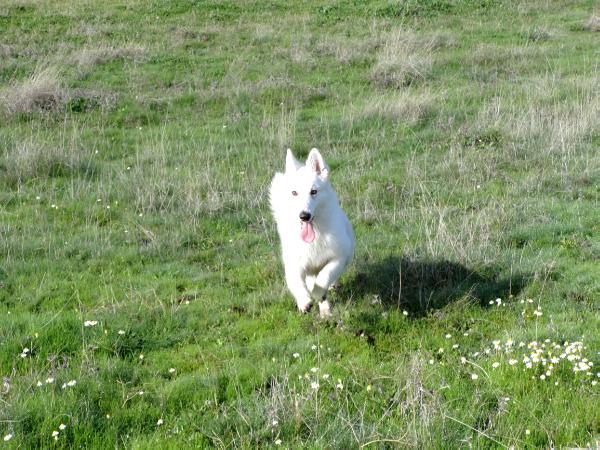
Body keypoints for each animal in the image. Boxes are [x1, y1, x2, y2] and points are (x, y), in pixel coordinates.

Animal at [270, 148, 354, 316]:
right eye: (294, 193)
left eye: (313, 191)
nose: (304, 216)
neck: (315, 235)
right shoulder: (294, 264)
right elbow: (296, 283)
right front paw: (304, 301)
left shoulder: (338, 258)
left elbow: (324, 276)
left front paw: (317, 294)